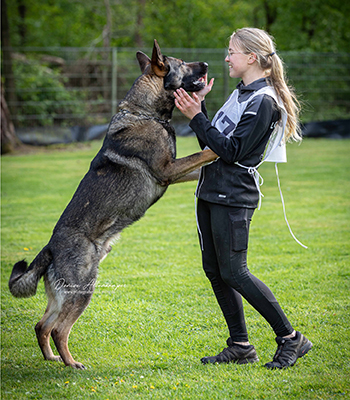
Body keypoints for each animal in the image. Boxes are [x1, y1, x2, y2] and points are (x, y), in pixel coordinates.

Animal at [8, 39, 216, 368]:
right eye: (182, 64)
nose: (207, 65)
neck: (146, 113)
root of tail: (50, 246)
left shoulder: (176, 172)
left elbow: (203, 163)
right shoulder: (168, 170)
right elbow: (206, 153)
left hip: (63, 295)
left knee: (42, 325)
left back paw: (53, 358)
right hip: (83, 290)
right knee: (59, 329)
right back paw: (71, 364)